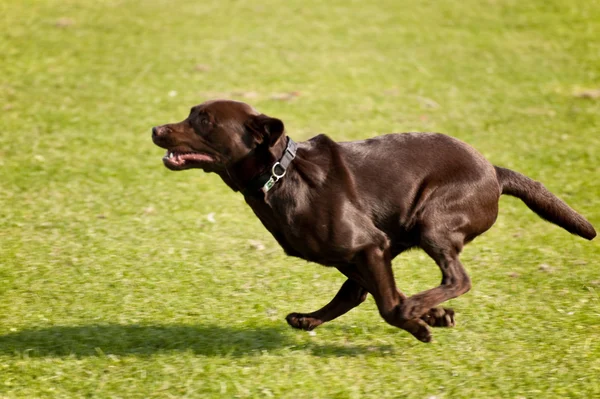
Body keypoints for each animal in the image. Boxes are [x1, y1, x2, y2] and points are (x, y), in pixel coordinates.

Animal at [151, 100, 596, 344]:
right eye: (190, 114)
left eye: (204, 121)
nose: (155, 129)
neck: (281, 174)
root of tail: (494, 172)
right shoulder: (366, 252)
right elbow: (375, 294)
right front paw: (433, 317)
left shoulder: (367, 246)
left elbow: (388, 306)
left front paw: (419, 322)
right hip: (395, 238)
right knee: (360, 292)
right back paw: (314, 318)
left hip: (432, 223)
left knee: (457, 278)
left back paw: (417, 308)